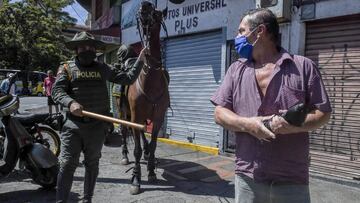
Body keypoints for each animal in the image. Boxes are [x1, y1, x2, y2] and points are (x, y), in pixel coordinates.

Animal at [118, 1, 169, 195]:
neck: (150, 80)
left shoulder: (158, 117)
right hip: (124, 112)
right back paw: (125, 155)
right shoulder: (135, 116)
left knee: (140, 134)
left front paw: (152, 171)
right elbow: (137, 150)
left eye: (158, 13)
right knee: (124, 132)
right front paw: (136, 179)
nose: (145, 7)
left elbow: (153, 144)